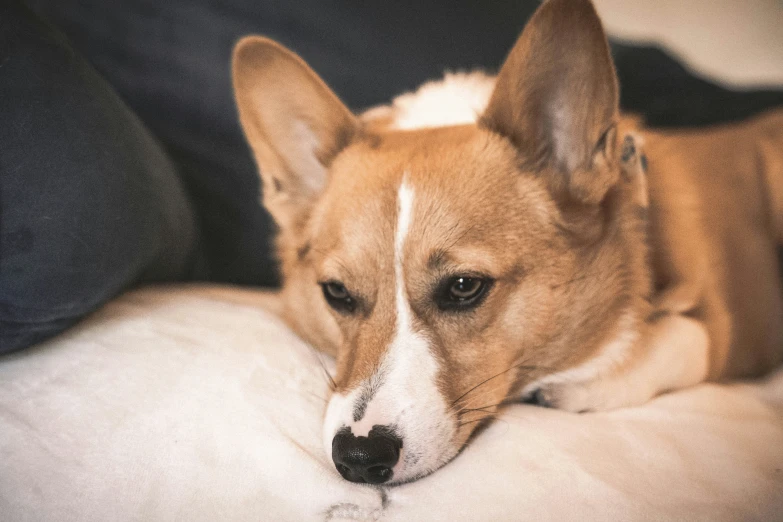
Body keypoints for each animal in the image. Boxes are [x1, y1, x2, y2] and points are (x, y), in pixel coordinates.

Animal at [231, 0, 783, 484]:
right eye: (336, 293)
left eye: (463, 287)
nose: (359, 459)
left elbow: (685, 339)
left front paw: (586, 383)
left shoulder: (725, 324)